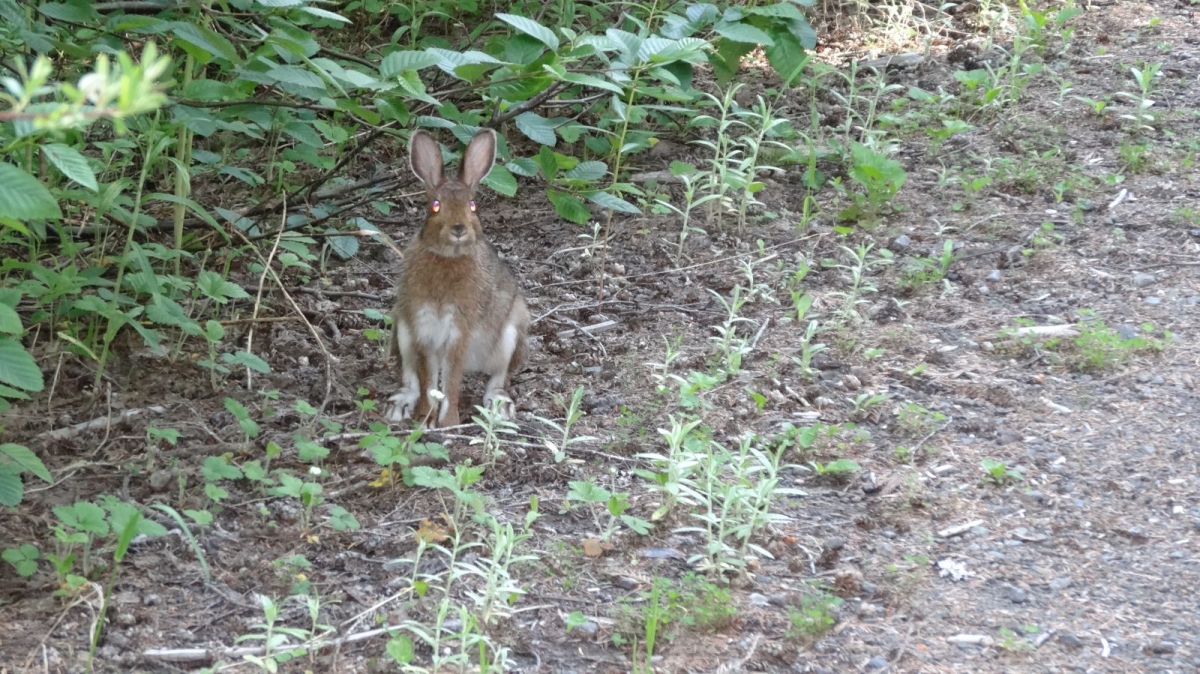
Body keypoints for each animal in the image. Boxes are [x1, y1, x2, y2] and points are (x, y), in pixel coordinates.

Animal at [388, 128, 530, 426]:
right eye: (435, 206)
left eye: (473, 206)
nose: (458, 228)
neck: (448, 257)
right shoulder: (422, 327)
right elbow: (428, 378)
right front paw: (425, 418)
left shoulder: (459, 329)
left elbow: (451, 379)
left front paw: (448, 422)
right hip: (402, 330)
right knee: (410, 375)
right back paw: (400, 406)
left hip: (511, 333)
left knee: (499, 377)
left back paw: (500, 406)